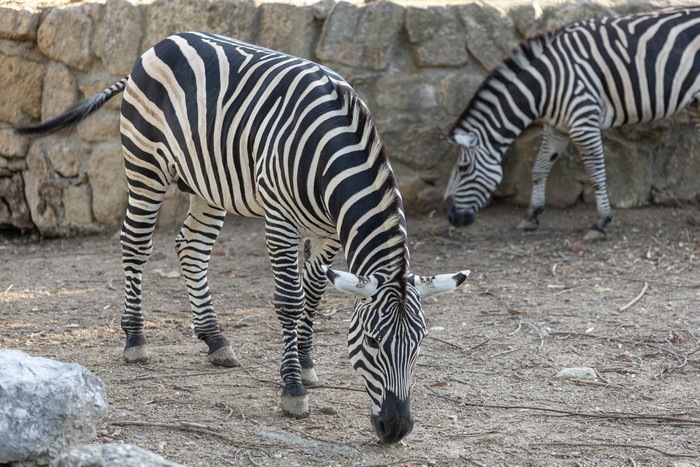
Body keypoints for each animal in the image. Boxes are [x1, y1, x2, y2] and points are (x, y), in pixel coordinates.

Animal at [15, 32, 469, 444]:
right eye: (373, 342)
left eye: (420, 343)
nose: (396, 429)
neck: (332, 153)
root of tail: (161, 43)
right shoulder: (280, 219)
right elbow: (289, 301)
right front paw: (292, 388)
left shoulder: (327, 233)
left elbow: (314, 295)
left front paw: (306, 362)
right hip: (145, 164)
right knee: (136, 243)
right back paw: (135, 339)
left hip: (209, 183)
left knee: (191, 248)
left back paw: (215, 339)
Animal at [444, 6, 700, 240]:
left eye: (463, 168)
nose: (449, 216)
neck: (546, 83)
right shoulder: (557, 127)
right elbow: (539, 167)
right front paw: (531, 215)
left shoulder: (583, 124)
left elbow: (596, 174)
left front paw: (601, 223)